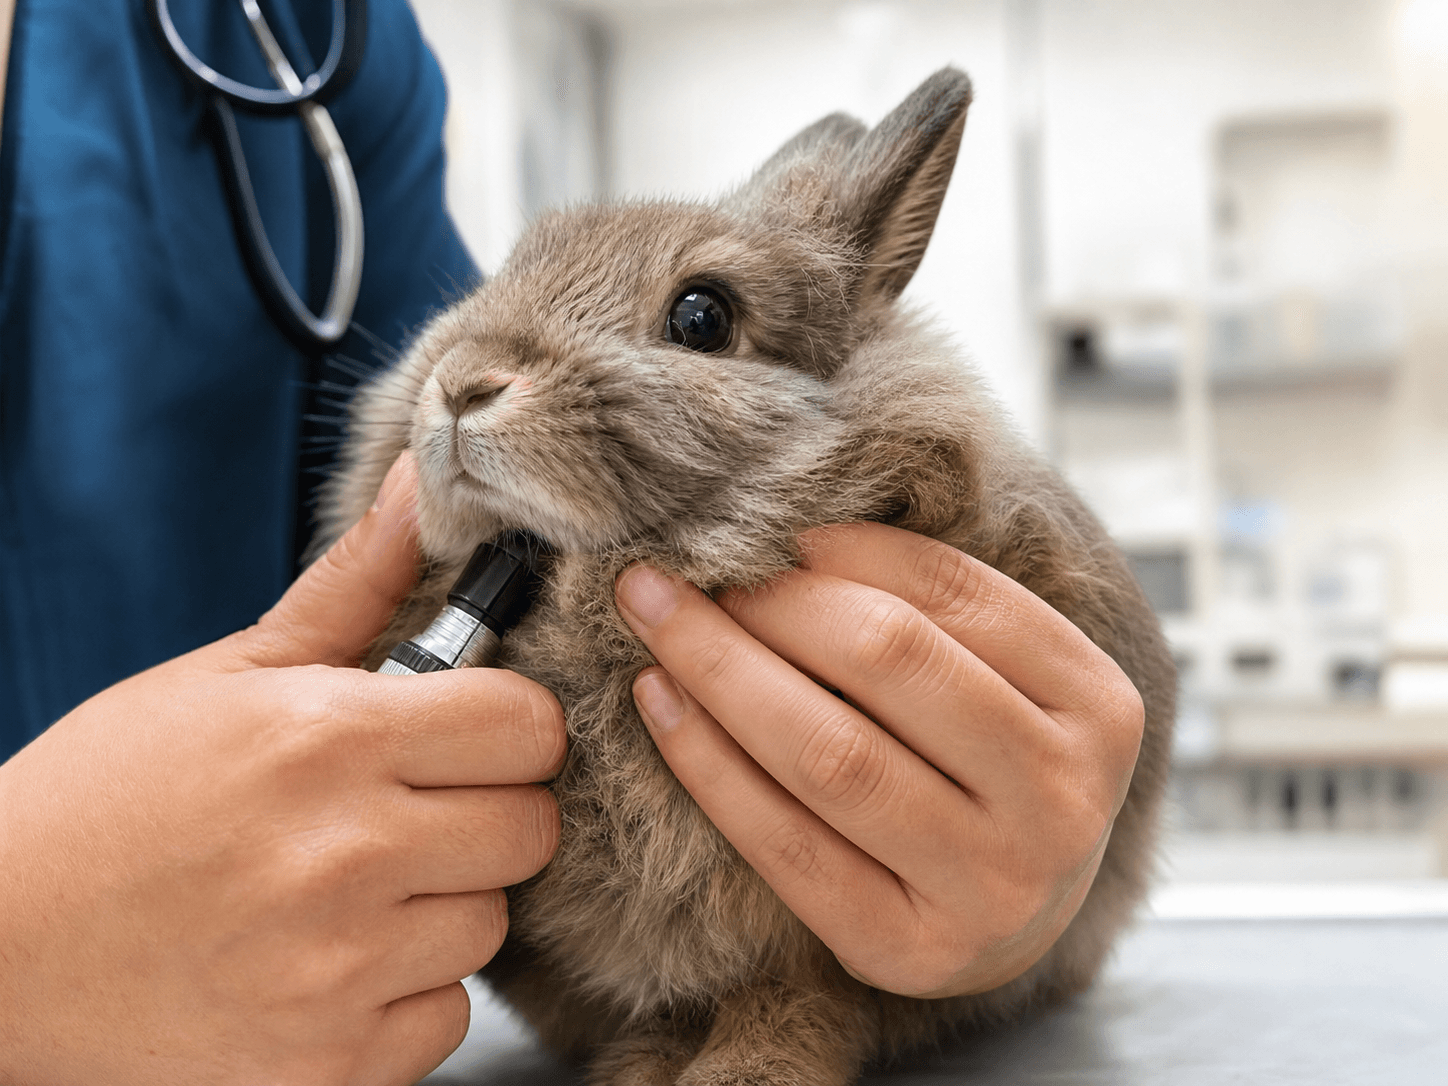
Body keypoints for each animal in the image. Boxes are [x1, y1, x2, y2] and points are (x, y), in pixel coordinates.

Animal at [316, 67, 1175, 1086]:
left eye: (703, 316)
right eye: (507, 270)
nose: (462, 385)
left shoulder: (812, 957)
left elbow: (800, 999)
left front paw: (740, 1072)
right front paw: (646, 1064)